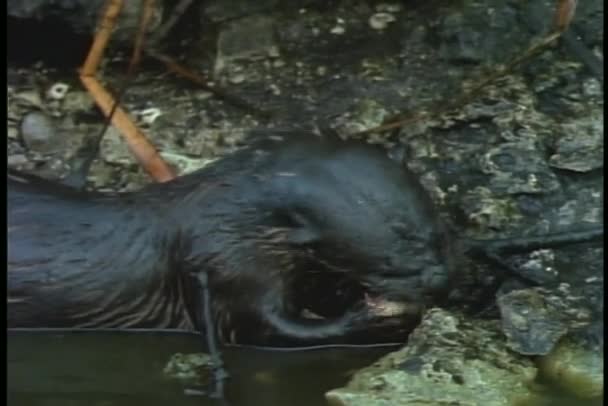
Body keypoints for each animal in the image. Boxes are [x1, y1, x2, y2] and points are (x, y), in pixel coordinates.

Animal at [5, 134, 456, 346]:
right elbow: (259, 329)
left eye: (438, 235)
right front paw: (374, 319)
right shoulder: (223, 265)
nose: (440, 280)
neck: (233, 222)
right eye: (390, 265)